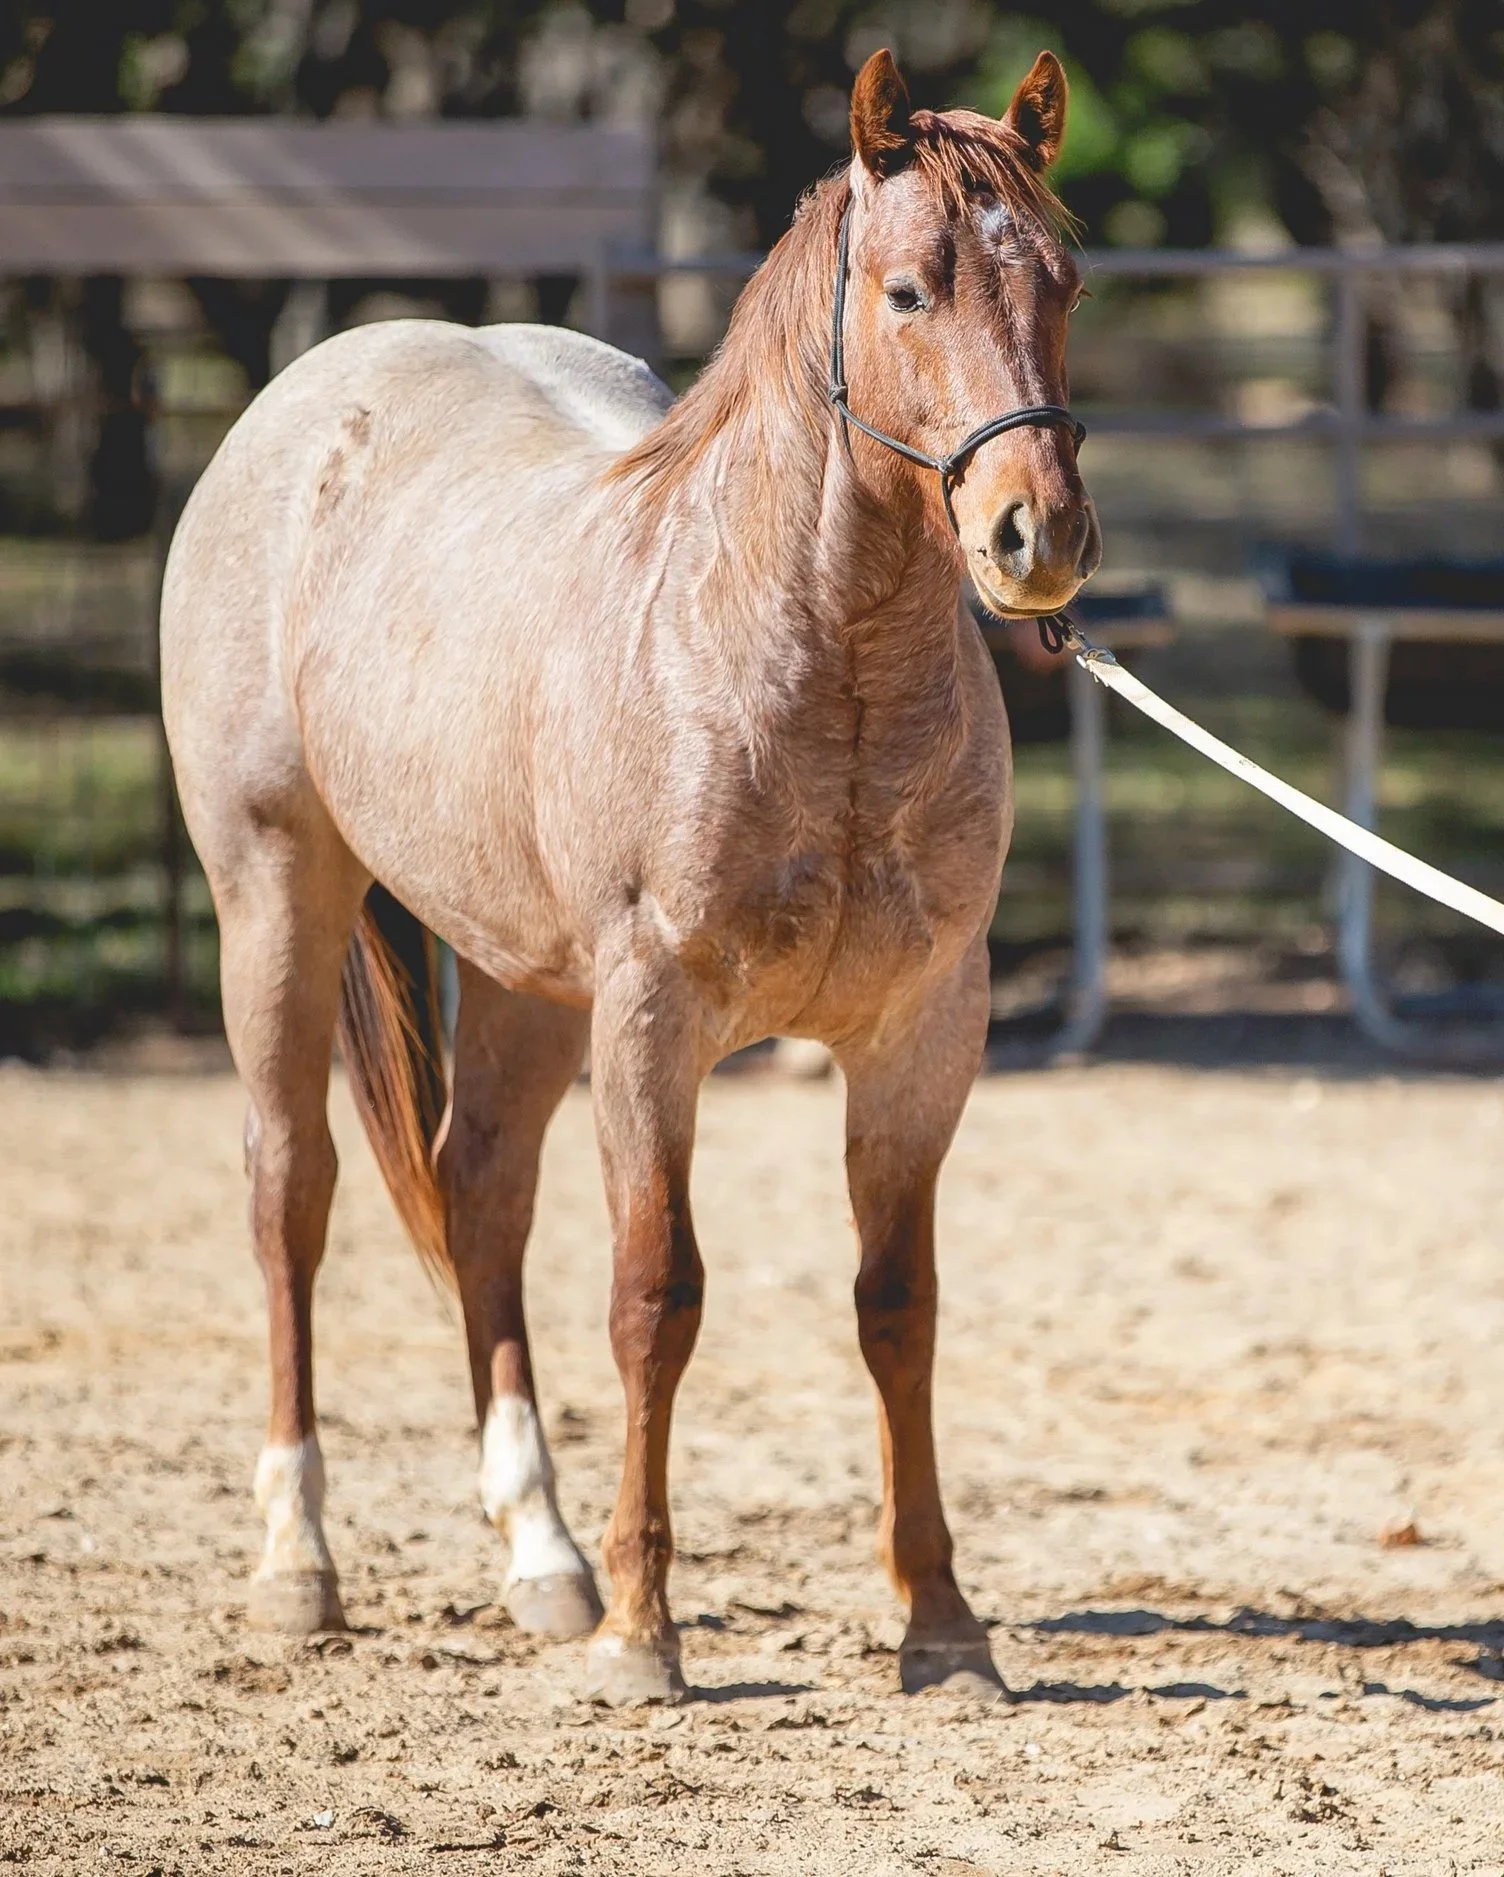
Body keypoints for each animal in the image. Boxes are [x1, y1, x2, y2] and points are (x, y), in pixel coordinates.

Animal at [160, 46, 1098, 1706]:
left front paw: (940, 1623)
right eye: (910, 289)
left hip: (524, 981)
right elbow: (657, 1299)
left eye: (1065, 281)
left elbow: (900, 1307)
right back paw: (299, 1564)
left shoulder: (923, 1036)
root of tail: (310, 399)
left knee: (480, 1194)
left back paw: (544, 1557)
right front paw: (646, 1636)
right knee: (292, 1194)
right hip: (277, 897)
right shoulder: (654, 1024)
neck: (817, 669)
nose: (1032, 536)